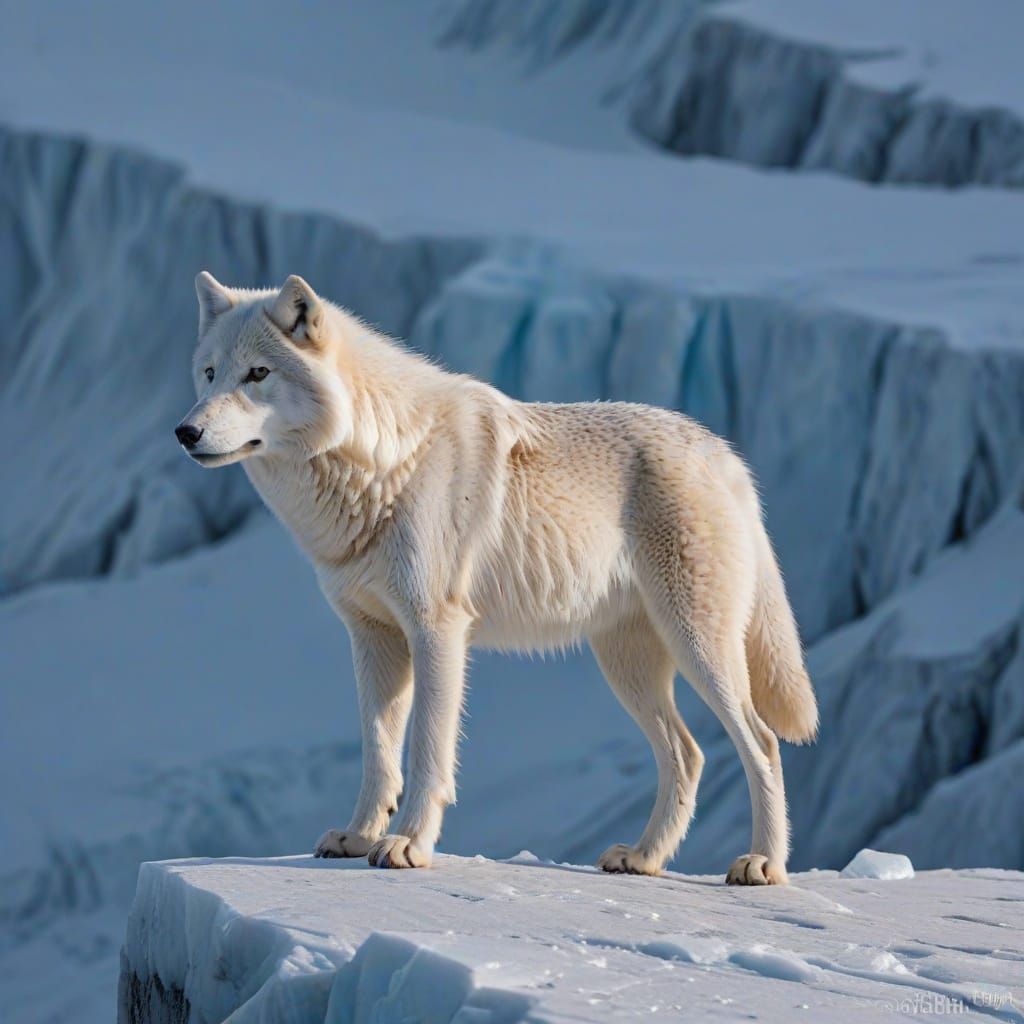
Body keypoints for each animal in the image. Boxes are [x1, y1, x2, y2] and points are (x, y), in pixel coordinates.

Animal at [176, 272, 818, 883]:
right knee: (688, 754)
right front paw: (359, 837)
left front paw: (407, 846)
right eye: (209, 373)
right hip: (627, 664)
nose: (186, 433)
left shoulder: (437, 631)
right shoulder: (373, 637)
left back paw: (763, 866)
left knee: (762, 743)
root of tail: (725, 454)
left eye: (258, 373)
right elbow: (378, 752)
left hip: (698, 648)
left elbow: (426, 751)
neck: (383, 460)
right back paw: (643, 858)